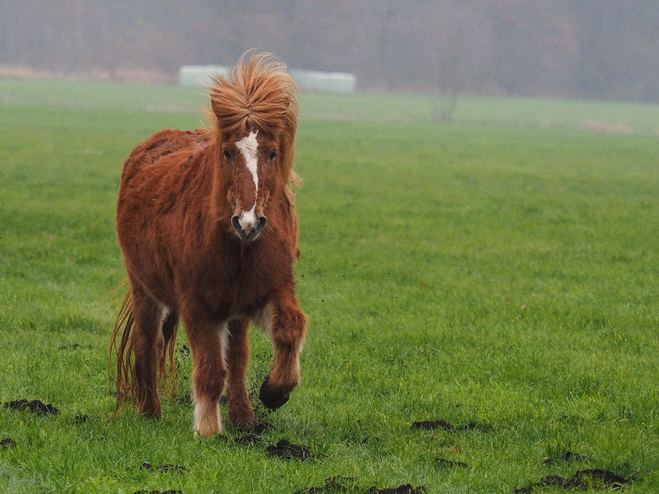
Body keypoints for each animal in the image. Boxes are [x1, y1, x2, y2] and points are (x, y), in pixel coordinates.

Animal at [112, 54, 308, 438]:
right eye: (227, 153)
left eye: (273, 153)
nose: (248, 222)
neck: (239, 248)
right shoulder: (199, 307)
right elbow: (210, 370)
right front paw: (206, 428)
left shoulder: (267, 291)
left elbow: (290, 328)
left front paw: (274, 391)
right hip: (144, 288)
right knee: (147, 343)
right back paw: (150, 411)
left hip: (234, 312)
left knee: (237, 357)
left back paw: (244, 417)